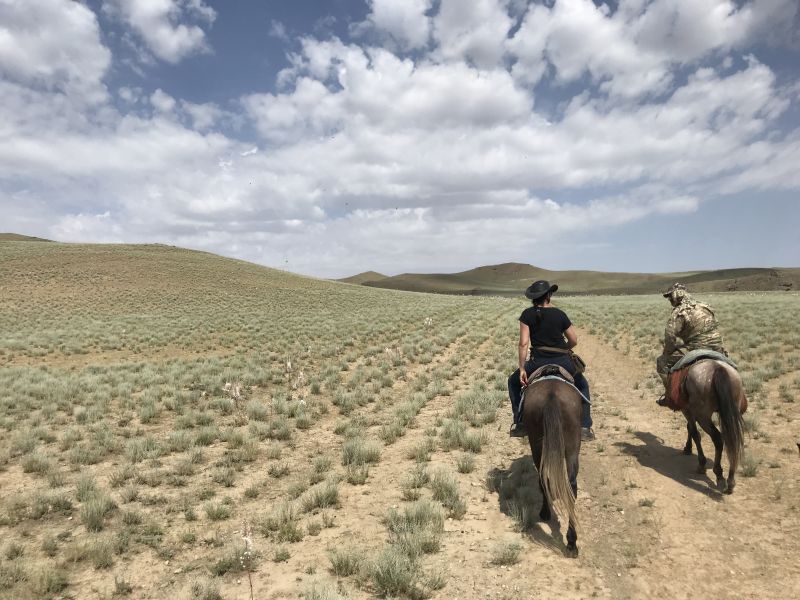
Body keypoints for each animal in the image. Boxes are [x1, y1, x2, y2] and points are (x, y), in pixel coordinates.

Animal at [520, 378, 580, 556]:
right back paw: (571, 541)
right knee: (570, 485)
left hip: (538, 445)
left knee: (546, 479)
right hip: (571, 447)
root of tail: (551, 395)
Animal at [680, 358, 748, 494]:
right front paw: (688, 448)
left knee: (717, 438)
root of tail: (717, 367)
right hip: (731, 411)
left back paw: (718, 472)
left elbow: (693, 431)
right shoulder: (690, 410)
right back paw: (730, 481)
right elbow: (690, 428)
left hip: (703, 417)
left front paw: (699, 462)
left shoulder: (687, 410)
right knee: (732, 441)